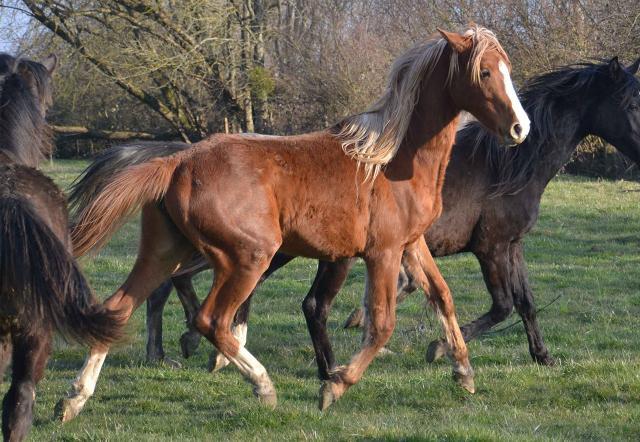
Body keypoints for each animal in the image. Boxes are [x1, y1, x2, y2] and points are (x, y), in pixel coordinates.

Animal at [60, 25, 528, 420]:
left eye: (506, 67)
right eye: (485, 71)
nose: (520, 128)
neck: (390, 159)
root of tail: (176, 164)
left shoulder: (411, 245)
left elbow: (443, 297)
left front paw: (463, 372)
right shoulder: (383, 252)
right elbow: (380, 324)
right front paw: (334, 386)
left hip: (165, 252)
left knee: (119, 308)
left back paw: (74, 399)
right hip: (247, 258)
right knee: (212, 320)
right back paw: (262, 385)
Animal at [70, 57, 640, 374]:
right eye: (632, 103)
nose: (638, 152)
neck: (504, 163)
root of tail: (184, 157)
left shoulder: (508, 246)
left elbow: (525, 304)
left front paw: (543, 357)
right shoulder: (492, 246)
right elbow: (501, 306)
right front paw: (436, 350)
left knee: (173, 286)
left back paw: (184, 350)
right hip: (255, 250)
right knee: (179, 286)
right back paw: (184, 346)